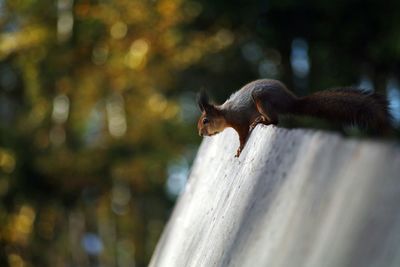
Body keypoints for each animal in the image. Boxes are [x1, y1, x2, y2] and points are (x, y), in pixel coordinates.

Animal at [197, 79, 390, 157]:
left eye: (205, 121)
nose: (200, 134)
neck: (225, 114)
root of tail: (291, 101)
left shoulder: (240, 121)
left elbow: (243, 136)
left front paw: (239, 149)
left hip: (262, 99)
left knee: (275, 120)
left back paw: (261, 120)